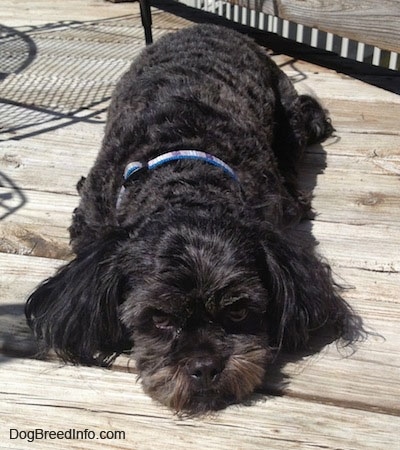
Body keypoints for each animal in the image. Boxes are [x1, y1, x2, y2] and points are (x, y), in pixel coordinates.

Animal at [25, 24, 354, 414]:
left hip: (287, 118)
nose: (205, 367)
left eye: (239, 312)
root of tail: (212, 27)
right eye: (160, 319)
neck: (185, 184)